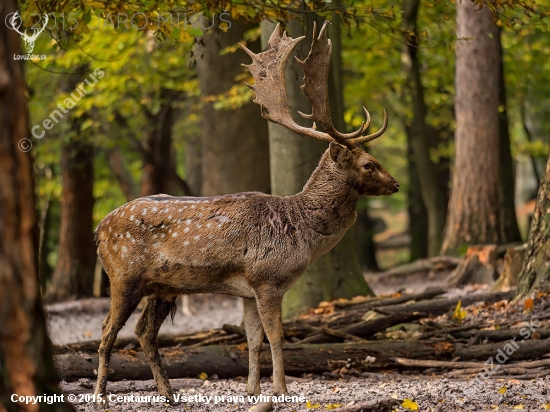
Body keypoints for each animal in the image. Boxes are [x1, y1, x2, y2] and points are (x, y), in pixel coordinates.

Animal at [92, 20, 398, 406]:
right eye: (369, 164)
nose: (396, 184)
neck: (302, 233)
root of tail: (98, 230)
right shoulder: (267, 279)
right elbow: (276, 337)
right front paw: (281, 390)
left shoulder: (249, 290)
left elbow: (253, 339)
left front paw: (253, 390)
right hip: (123, 276)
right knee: (106, 330)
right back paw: (101, 396)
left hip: (162, 287)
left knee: (144, 332)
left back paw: (169, 393)